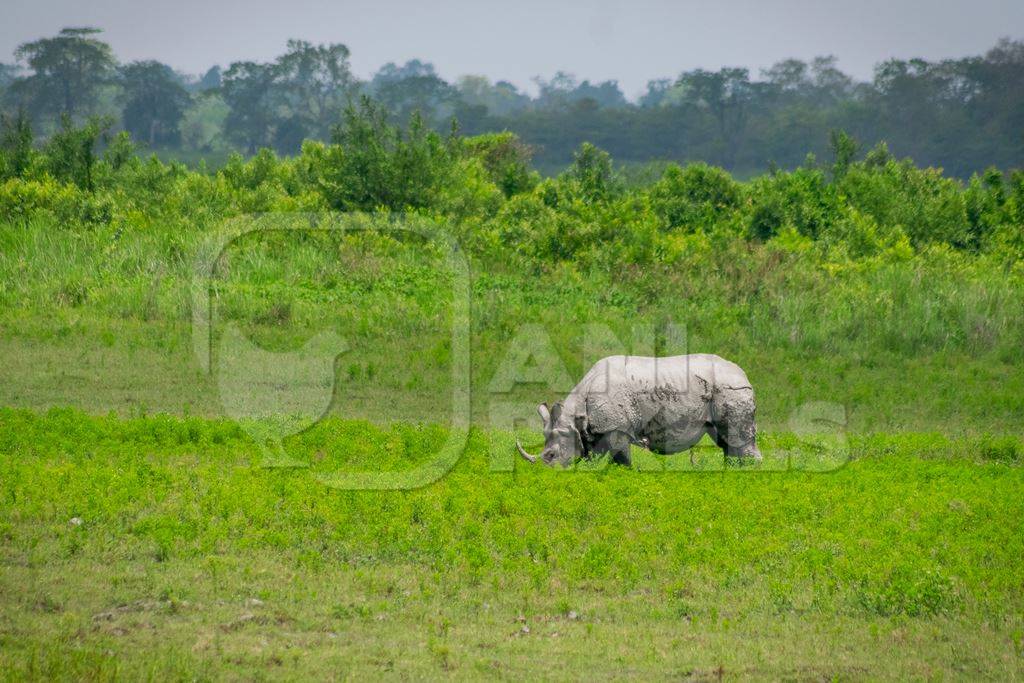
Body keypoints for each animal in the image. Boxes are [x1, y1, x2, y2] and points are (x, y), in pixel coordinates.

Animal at [520, 356, 761, 466]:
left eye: (551, 455)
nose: (547, 470)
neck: (575, 415)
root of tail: (744, 375)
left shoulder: (617, 429)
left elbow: (622, 460)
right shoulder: (599, 429)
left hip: (731, 389)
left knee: (737, 438)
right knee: (726, 441)